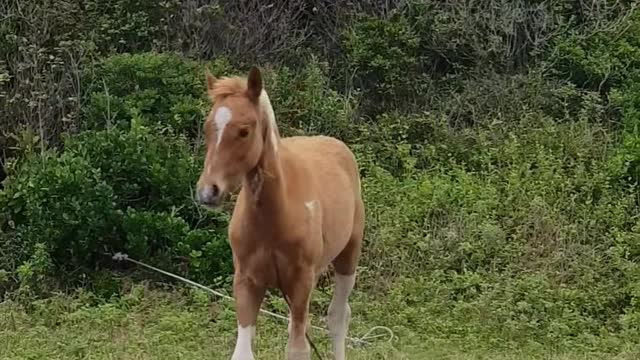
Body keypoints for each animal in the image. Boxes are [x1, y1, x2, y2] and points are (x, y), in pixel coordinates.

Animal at [194, 66, 364, 358]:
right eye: (207, 128)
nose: (208, 192)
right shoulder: (246, 281)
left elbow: (297, 349)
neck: (274, 218)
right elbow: (243, 350)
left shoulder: (301, 282)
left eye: (244, 131)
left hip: (347, 257)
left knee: (338, 317)